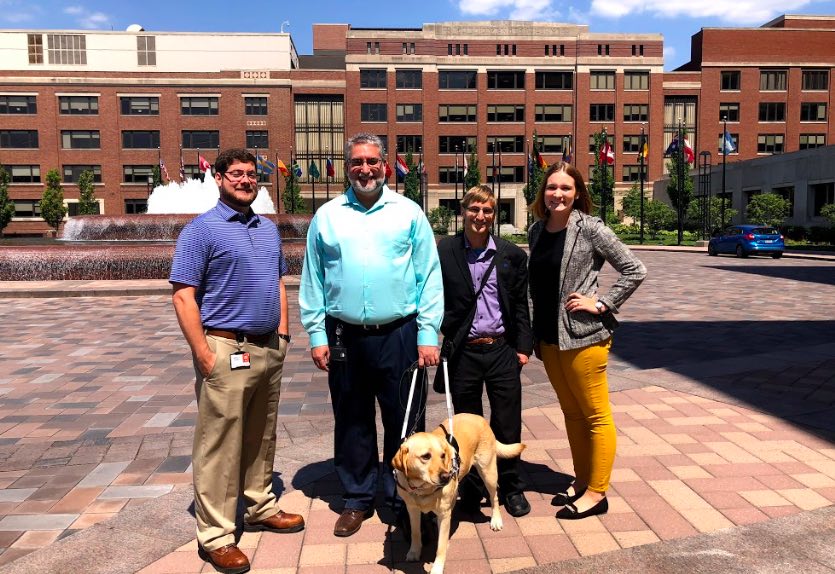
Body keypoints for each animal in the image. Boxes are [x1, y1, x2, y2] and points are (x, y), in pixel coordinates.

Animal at [390, 414, 524, 574]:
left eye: (442, 455)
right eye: (426, 456)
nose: (446, 477)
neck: (422, 488)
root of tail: (479, 417)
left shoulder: (444, 514)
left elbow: (441, 546)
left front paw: (437, 567)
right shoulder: (412, 509)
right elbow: (415, 532)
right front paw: (414, 552)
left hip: (488, 472)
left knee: (494, 497)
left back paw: (496, 520)